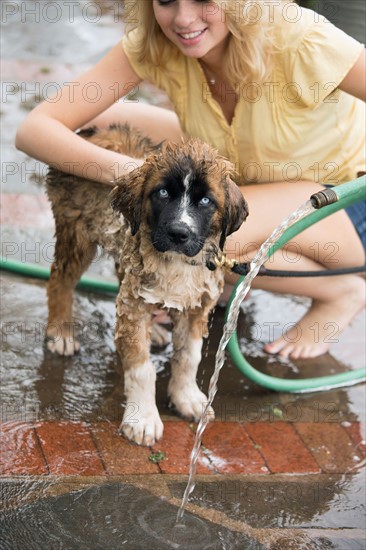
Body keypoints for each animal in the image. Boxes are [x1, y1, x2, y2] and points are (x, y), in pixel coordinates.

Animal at [44, 123, 247, 446]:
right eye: (162, 193)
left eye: (206, 201)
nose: (178, 233)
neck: (175, 262)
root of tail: (96, 130)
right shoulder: (135, 304)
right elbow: (142, 367)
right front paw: (142, 419)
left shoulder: (197, 305)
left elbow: (189, 357)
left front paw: (186, 397)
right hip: (76, 231)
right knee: (59, 281)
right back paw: (61, 332)